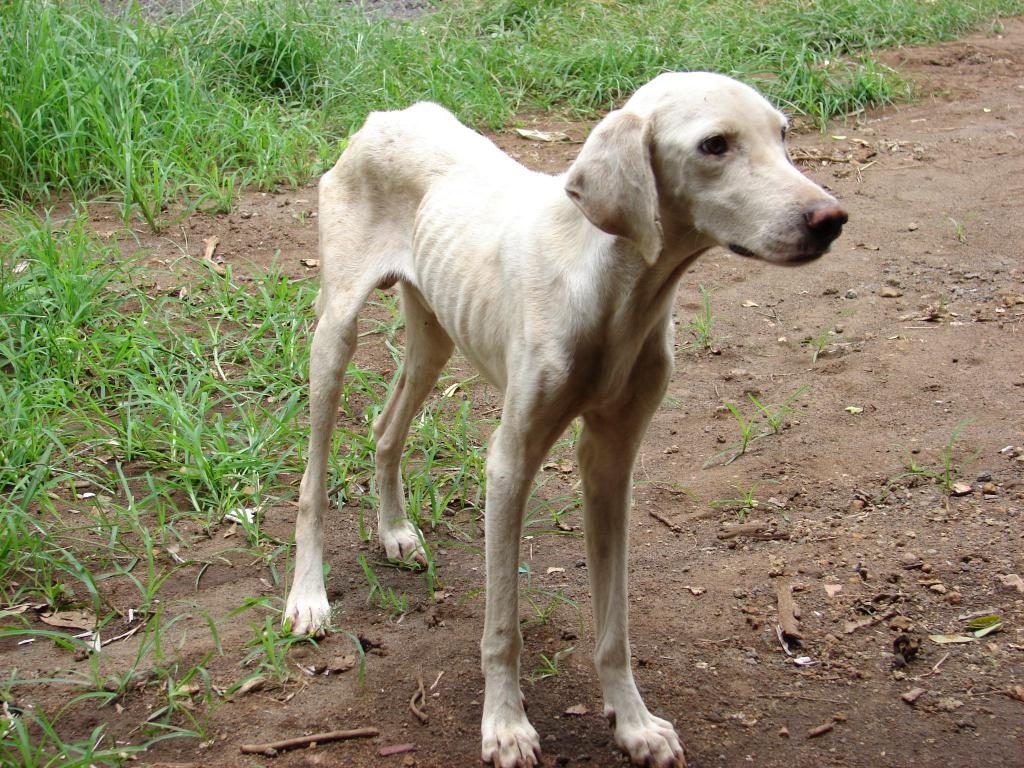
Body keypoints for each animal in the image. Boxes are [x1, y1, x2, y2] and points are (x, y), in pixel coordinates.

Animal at [284, 72, 843, 768]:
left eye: (784, 135)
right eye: (714, 145)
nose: (832, 219)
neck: (614, 288)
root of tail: (390, 113)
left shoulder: (612, 462)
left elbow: (614, 624)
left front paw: (633, 723)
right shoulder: (510, 463)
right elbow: (503, 626)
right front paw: (505, 726)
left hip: (434, 334)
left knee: (386, 431)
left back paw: (394, 532)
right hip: (335, 335)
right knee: (312, 481)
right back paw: (308, 597)